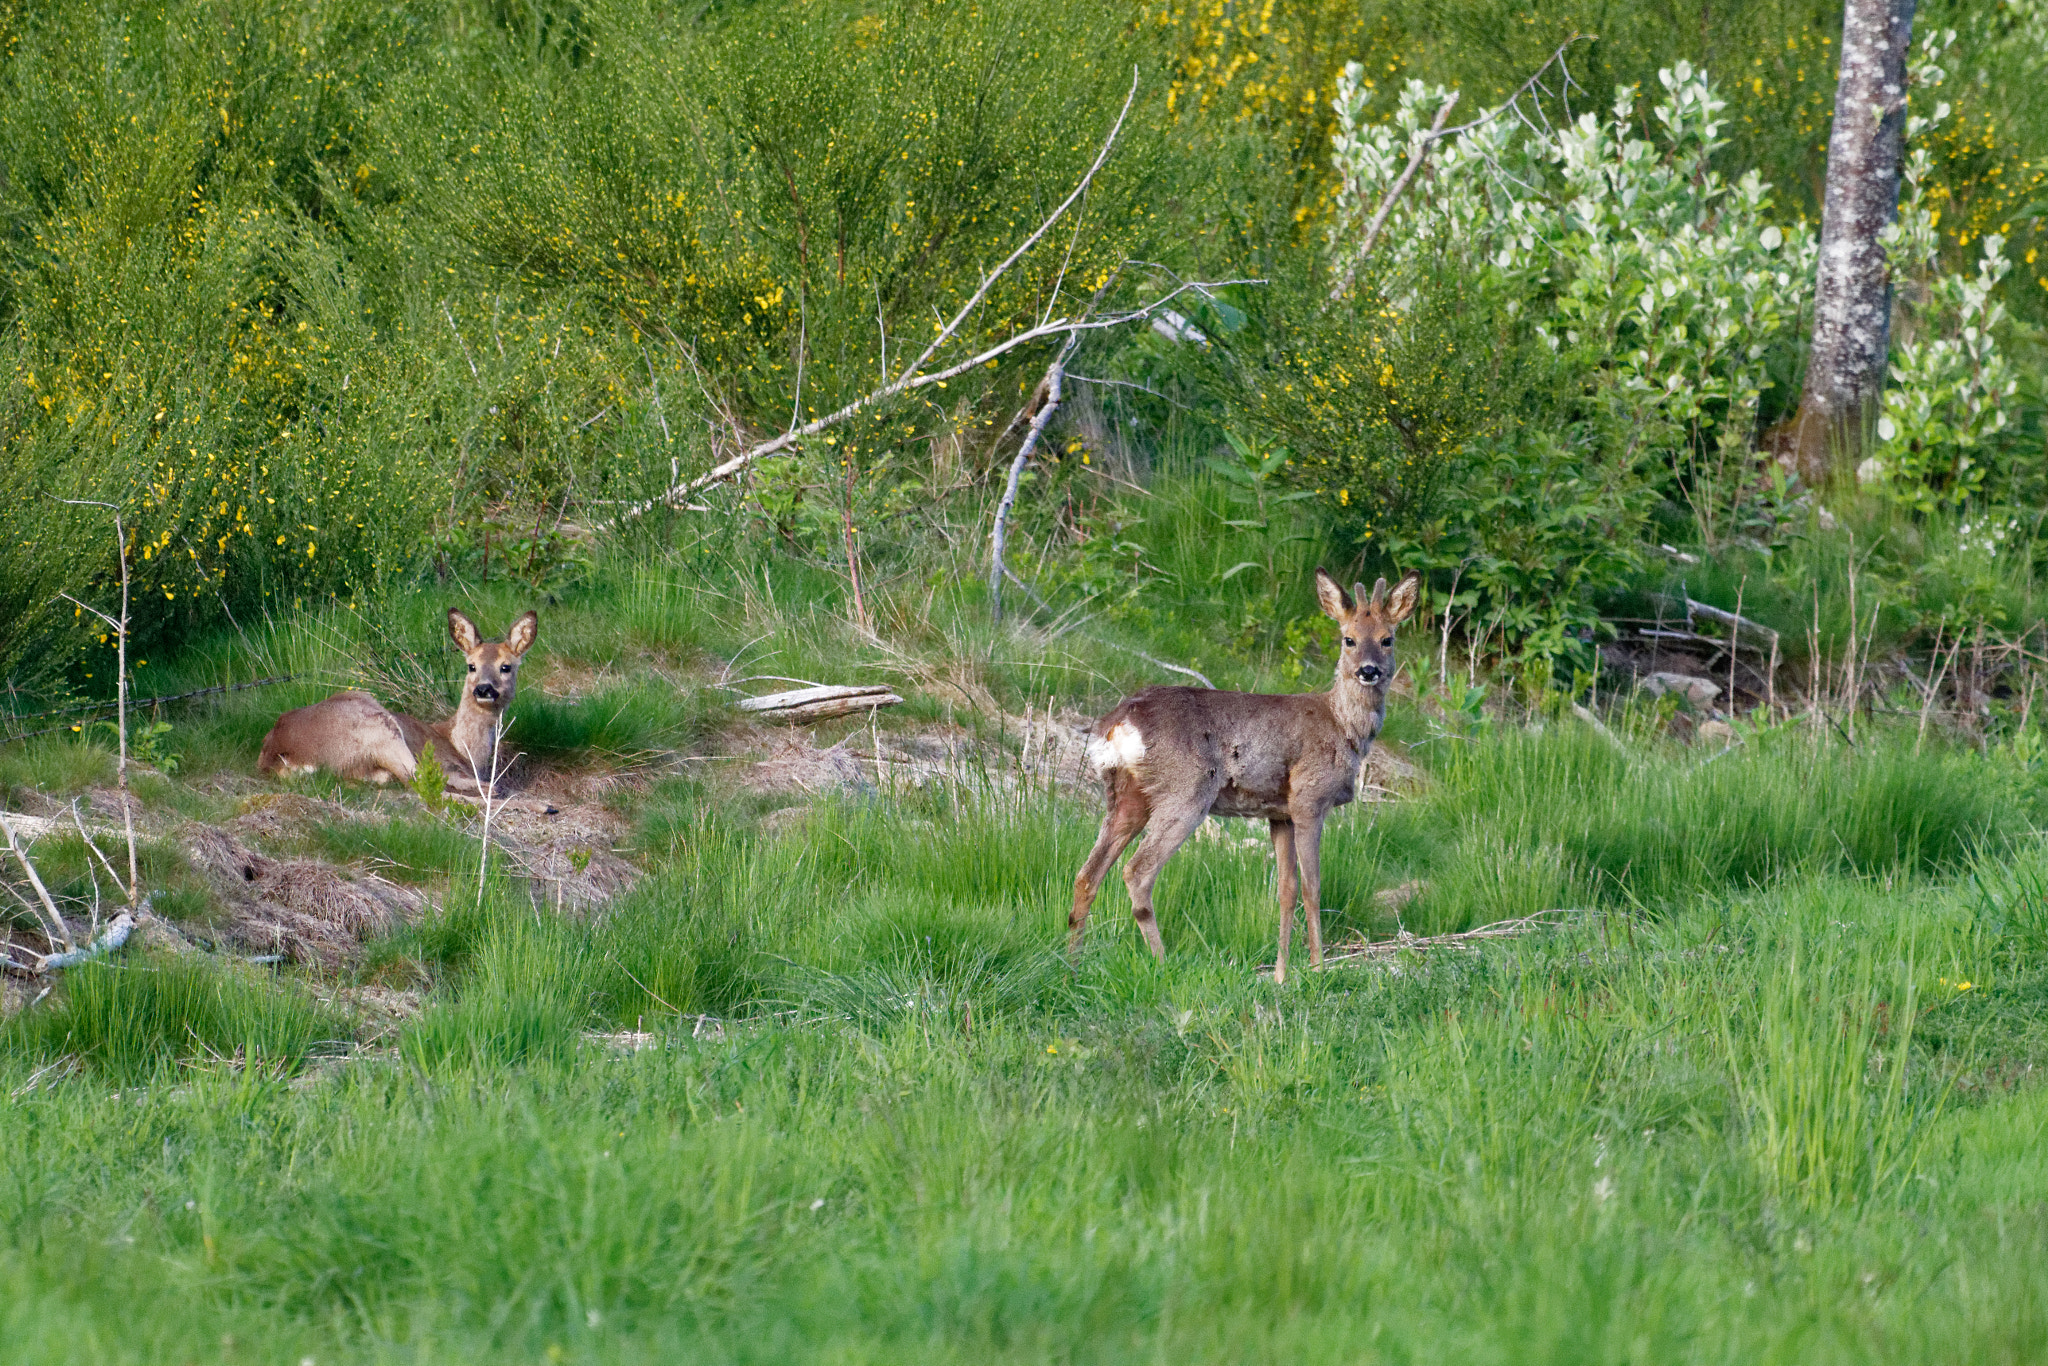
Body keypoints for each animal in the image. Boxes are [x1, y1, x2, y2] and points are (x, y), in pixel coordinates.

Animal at [258, 610, 536, 794]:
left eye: (506, 667)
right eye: (472, 666)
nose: (483, 688)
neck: (462, 747)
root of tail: (279, 756)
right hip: (379, 725)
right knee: (419, 780)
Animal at [1064, 565, 1417, 983]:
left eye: (1387, 639)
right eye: (1349, 639)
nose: (1369, 671)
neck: (1343, 726)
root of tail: (1118, 722)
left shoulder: (1279, 814)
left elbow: (1286, 890)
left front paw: (1281, 974)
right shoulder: (1309, 798)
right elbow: (1312, 887)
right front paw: (1317, 968)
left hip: (1126, 795)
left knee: (1087, 874)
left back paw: (1071, 966)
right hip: (1186, 790)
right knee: (1136, 872)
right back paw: (1162, 964)